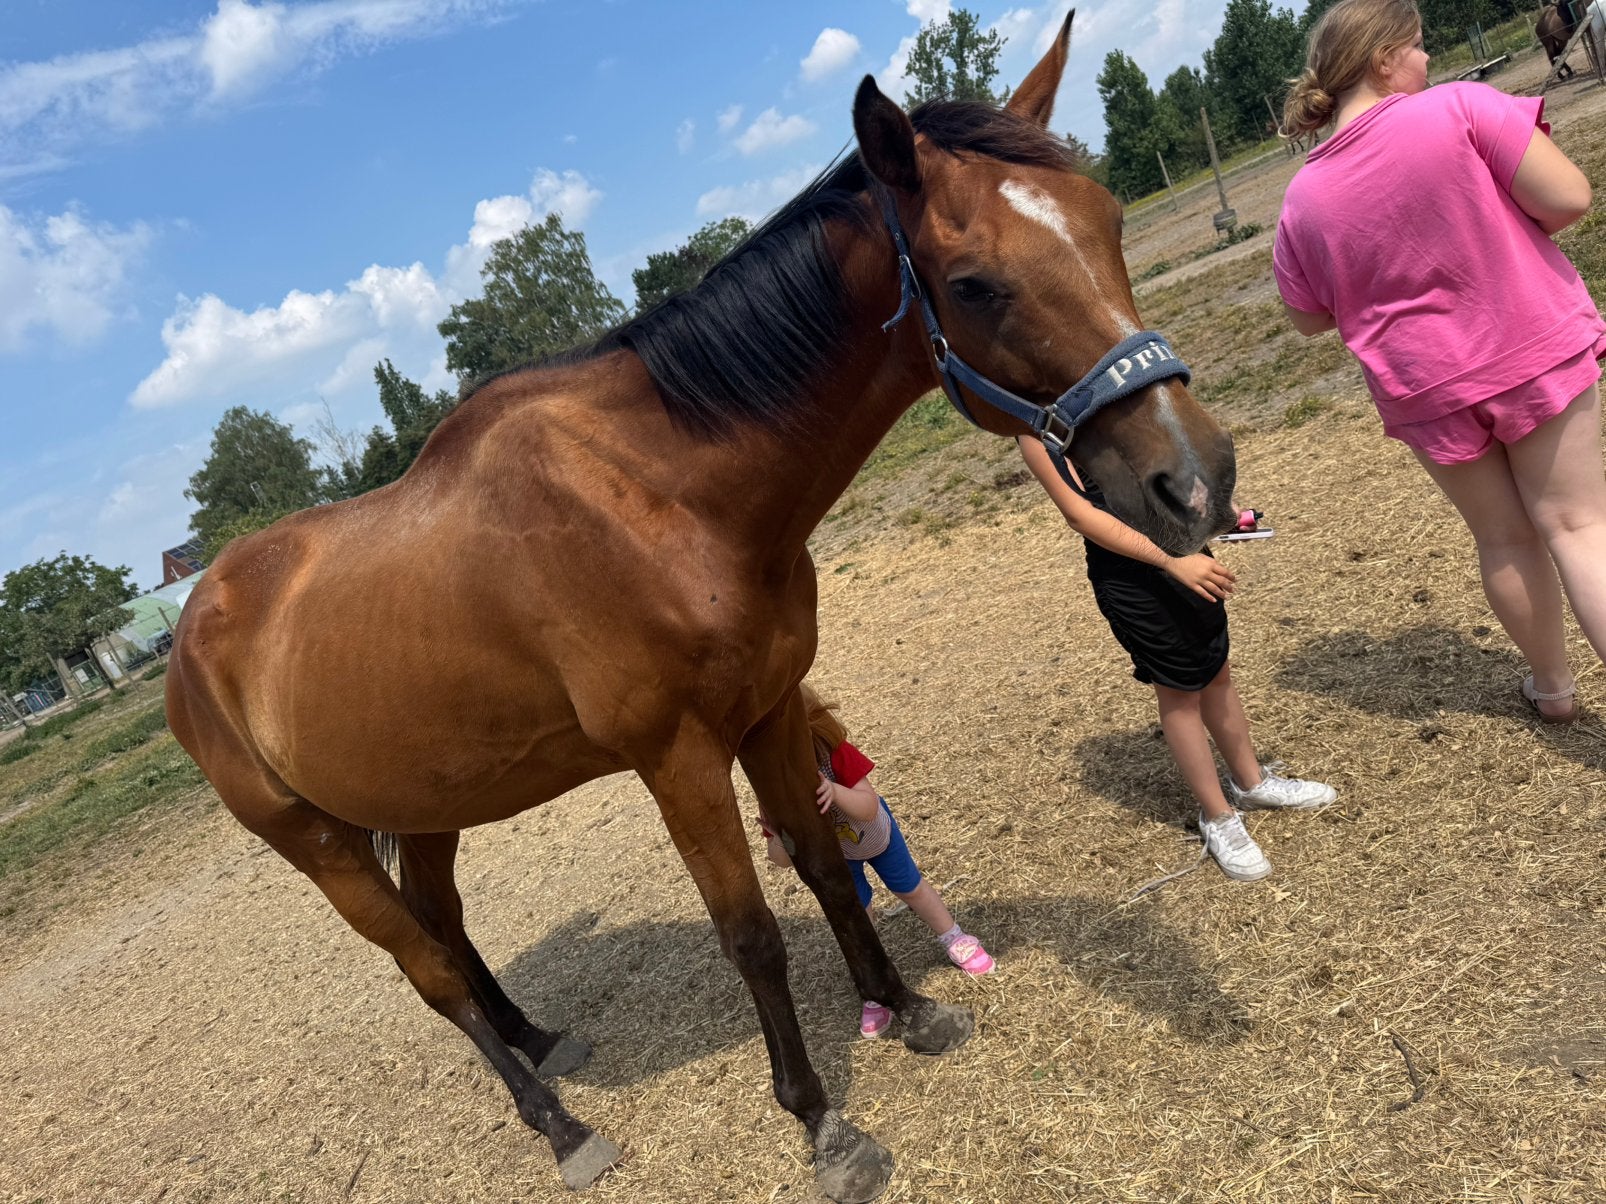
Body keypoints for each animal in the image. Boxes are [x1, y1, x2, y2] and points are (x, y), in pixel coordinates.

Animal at [164, 16, 1237, 1203]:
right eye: (974, 283)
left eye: (1106, 221)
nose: (1194, 481)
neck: (661, 492)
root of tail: (194, 629)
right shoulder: (677, 758)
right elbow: (751, 931)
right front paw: (821, 1122)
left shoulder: (768, 709)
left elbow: (824, 867)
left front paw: (907, 1008)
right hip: (318, 845)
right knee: (429, 971)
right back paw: (558, 1125)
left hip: (428, 802)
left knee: (444, 924)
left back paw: (538, 1040)